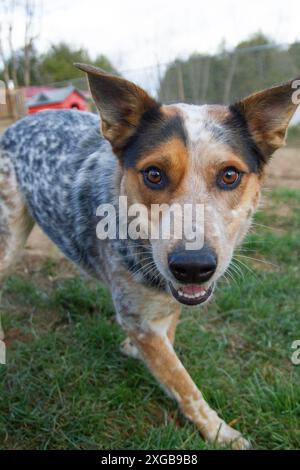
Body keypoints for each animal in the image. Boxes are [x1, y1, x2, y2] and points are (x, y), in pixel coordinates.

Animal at [0, 62, 298, 448]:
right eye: (154, 174)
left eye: (230, 175)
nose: (193, 267)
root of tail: (16, 125)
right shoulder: (138, 315)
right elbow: (184, 383)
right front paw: (219, 431)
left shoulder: (168, 300)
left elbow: (168, 336)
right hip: (9, 241)